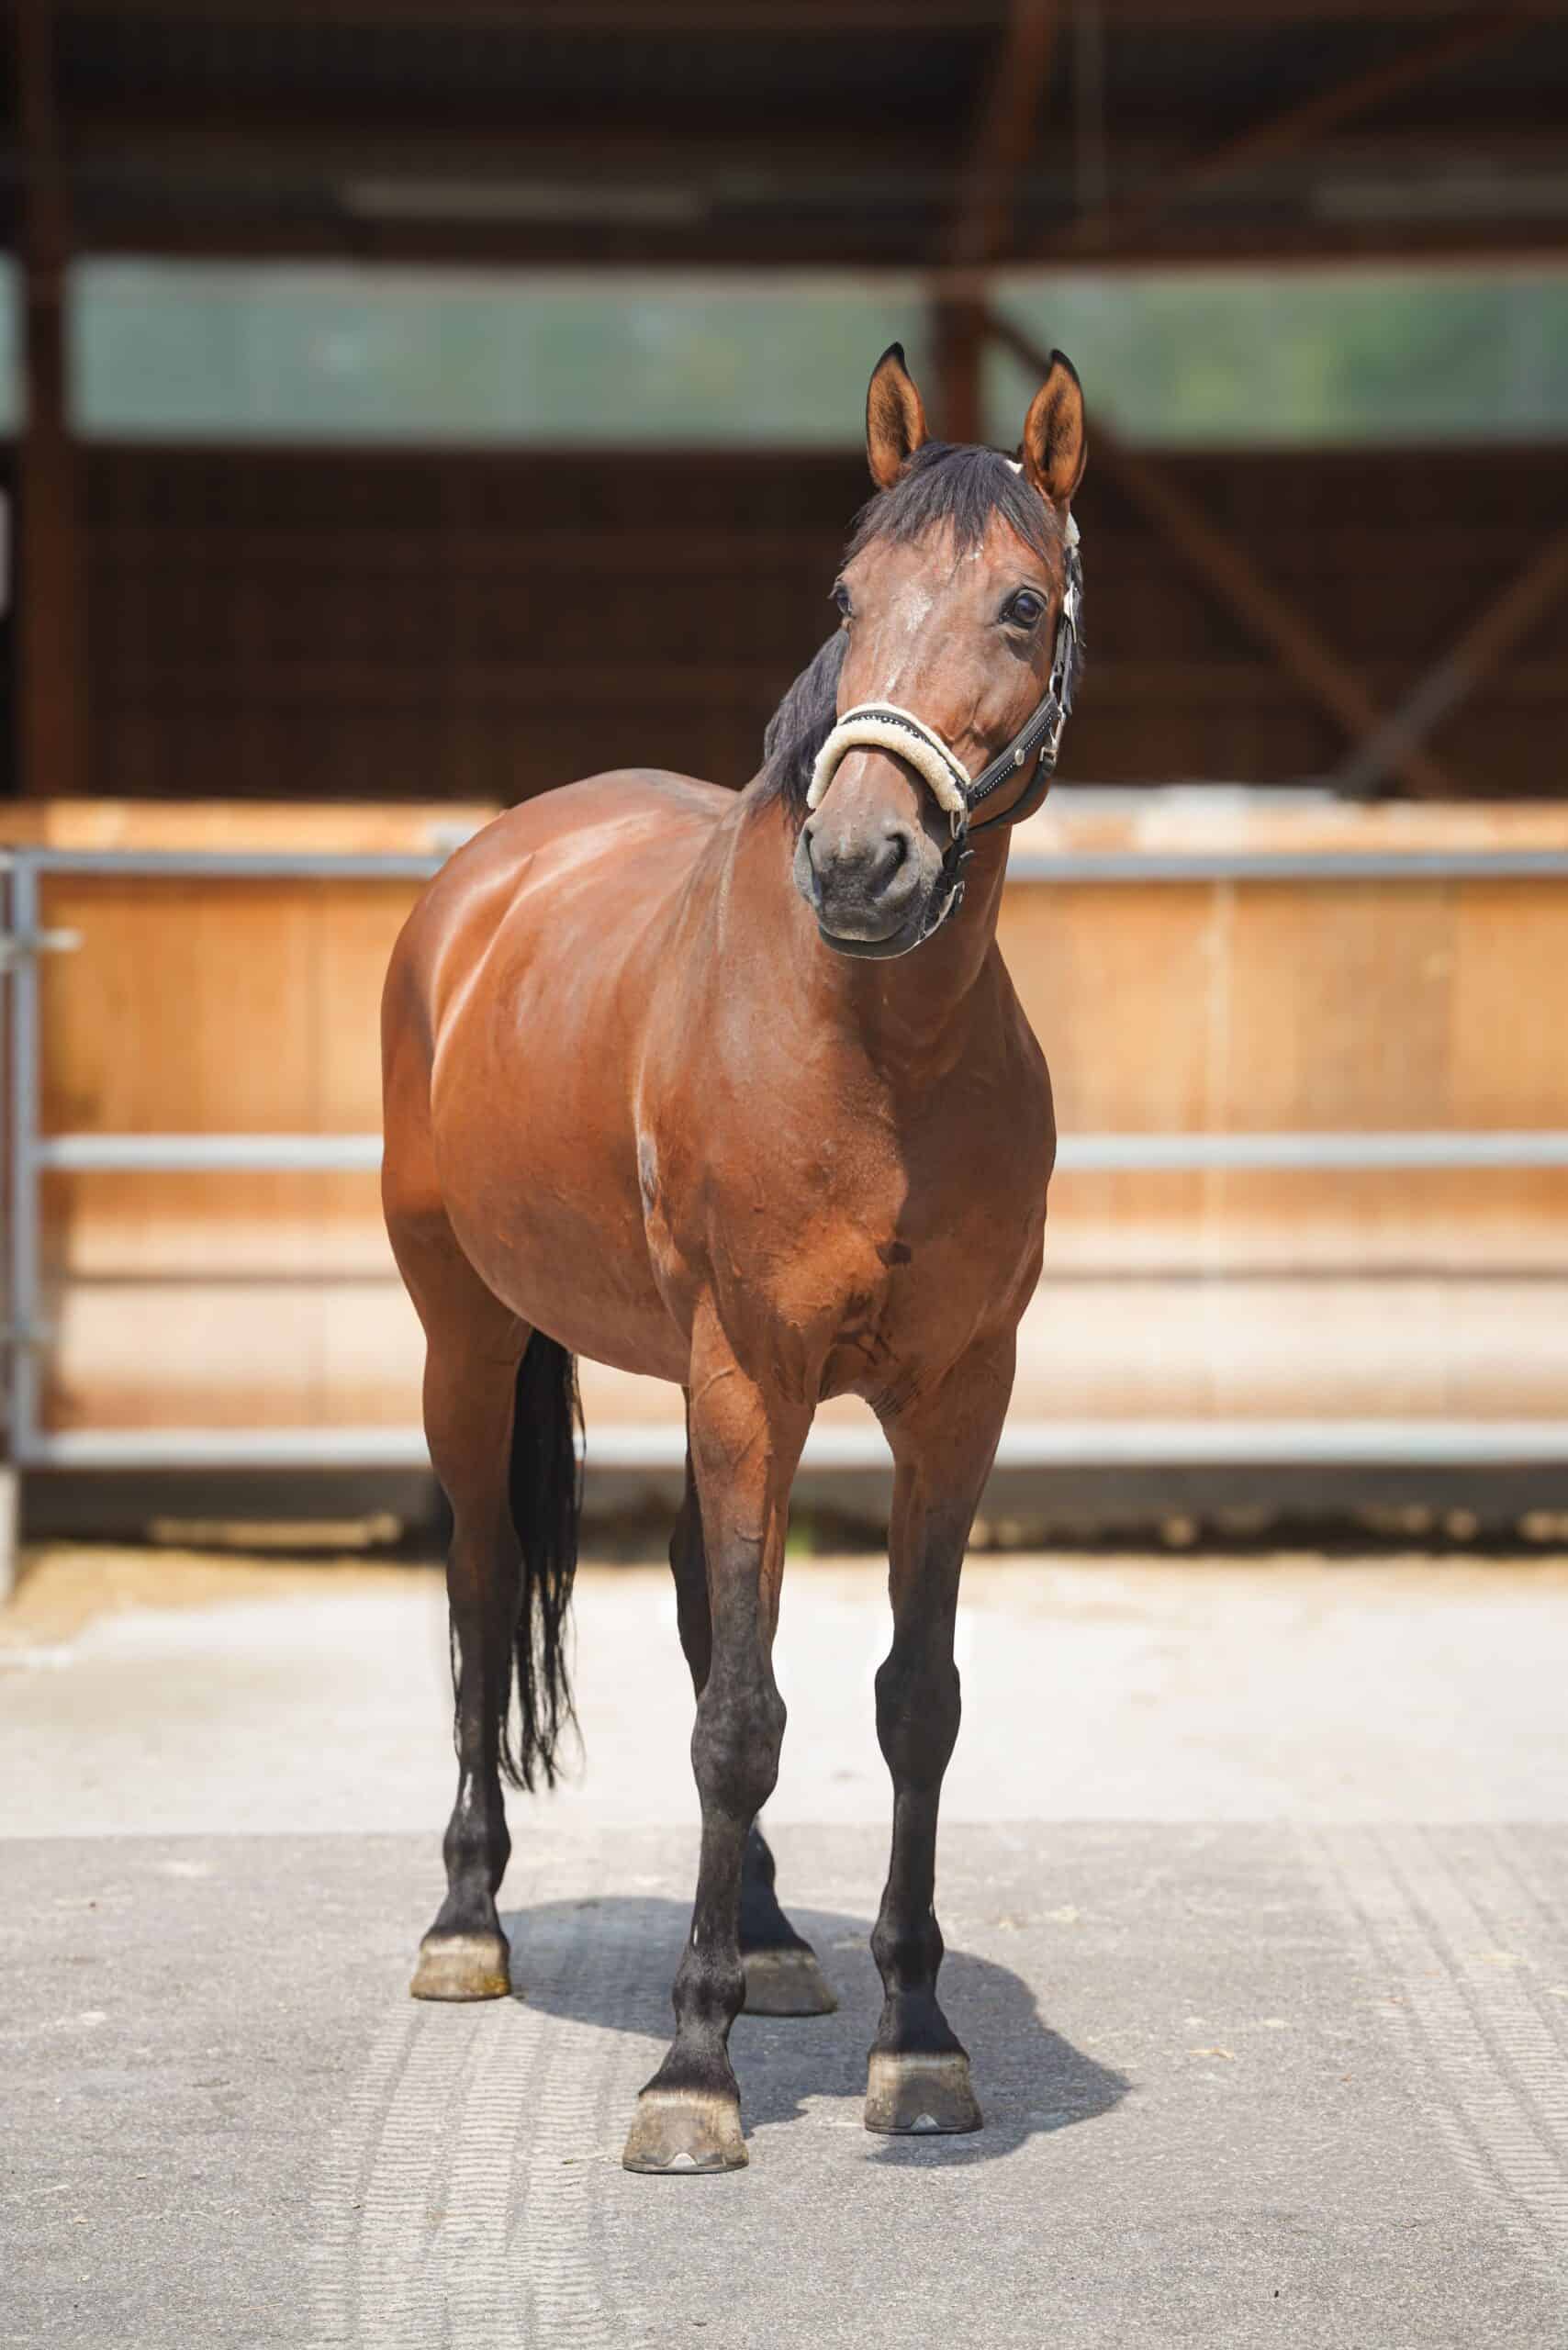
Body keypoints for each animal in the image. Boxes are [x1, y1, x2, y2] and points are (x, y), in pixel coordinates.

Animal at [381, 341, 1087, 2175]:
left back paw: (765, 1943)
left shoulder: (953, 1400)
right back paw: (466, 1925)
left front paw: (919, 2042)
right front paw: (688, 2077)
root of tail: (484, 879)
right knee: (484, 1589)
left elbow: (903, 1701)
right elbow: (736, 1722)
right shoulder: (748, 1376)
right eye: (847, 598)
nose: (859, 863)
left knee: (716, 1623)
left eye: (1021, 605)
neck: (875, 1046)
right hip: (472, 1345)